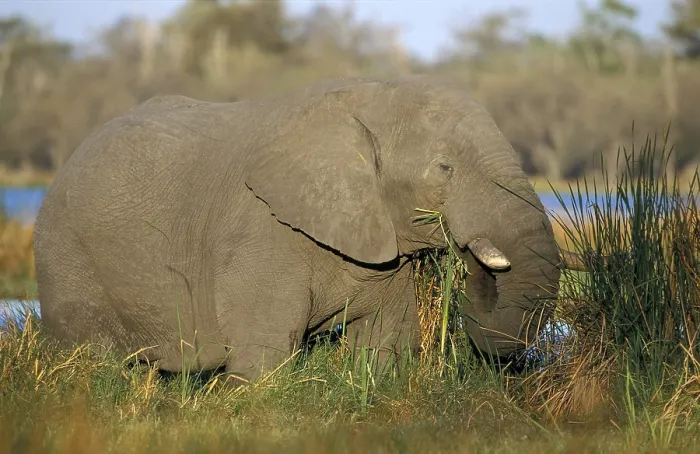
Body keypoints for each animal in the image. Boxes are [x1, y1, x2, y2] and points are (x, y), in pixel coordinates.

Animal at [33, 75, 572, 382]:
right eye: (444, 169)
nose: (471, 258)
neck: (370, 99)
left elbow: (385, 342)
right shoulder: (260, 231)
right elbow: (266, 351)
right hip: (66, 258)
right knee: (92, 361)